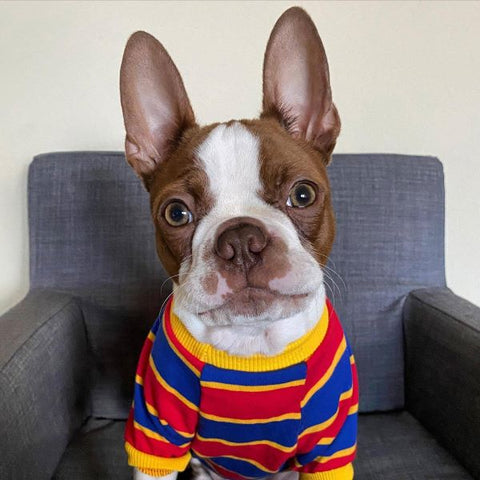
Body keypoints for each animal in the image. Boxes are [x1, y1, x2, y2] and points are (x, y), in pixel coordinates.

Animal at [120, 6, 358, 480]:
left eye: (303, 194)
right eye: (176, 213)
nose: (242, 239)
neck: (252, 342)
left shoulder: (330, 447)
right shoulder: (156, 436)